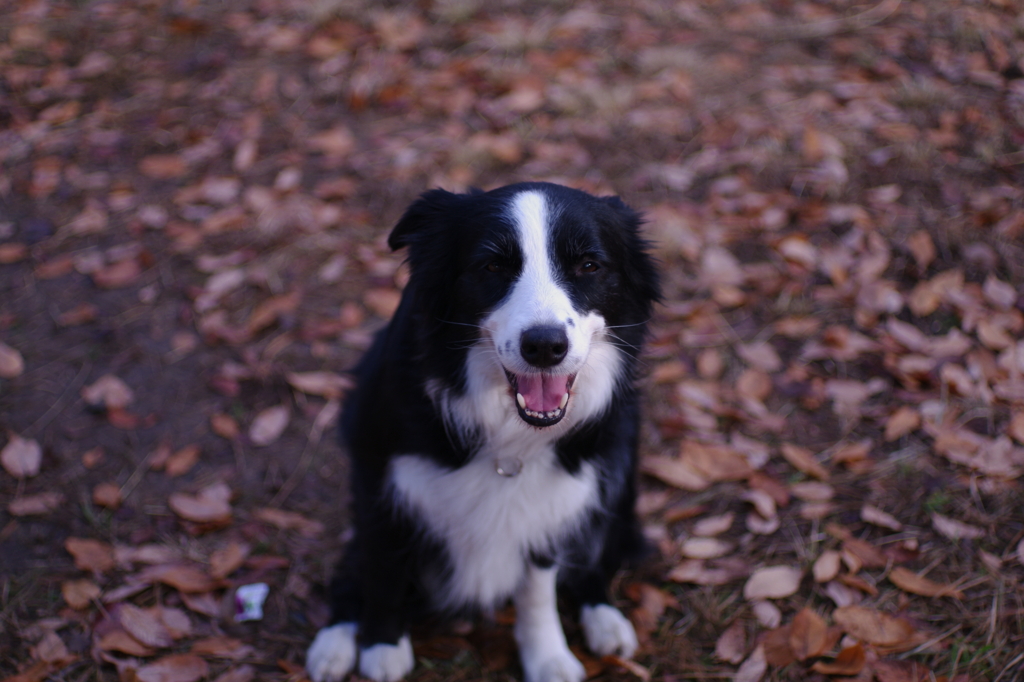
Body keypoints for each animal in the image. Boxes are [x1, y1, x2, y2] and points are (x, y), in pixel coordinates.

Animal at [303, 180, 659, 679]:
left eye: (589, 265)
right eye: (493, 265)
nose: (545, 346)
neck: (507, 430)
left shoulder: (552, 499)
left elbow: (538, 585)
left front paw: (547, 656)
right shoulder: (378, 477)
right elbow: (384, 566)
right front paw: (382, 646)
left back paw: (604, 616)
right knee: (353, 568)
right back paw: (335, 642)